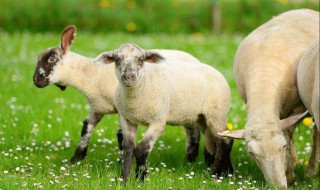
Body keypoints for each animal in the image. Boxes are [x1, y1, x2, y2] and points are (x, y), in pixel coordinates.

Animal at [32, 25, 202, 163]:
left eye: (52, 59)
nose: (36, 81)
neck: (92, 75)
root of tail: (197, 60)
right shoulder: (98, 107)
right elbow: (86, 127)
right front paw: (76, 159)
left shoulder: (122, 109)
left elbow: (120, 135)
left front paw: (121, 161)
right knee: (191, 128)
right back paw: (190, 158)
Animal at [94, 42, 234, 181]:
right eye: (117, 59)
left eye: (141, 59)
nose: (128, 77)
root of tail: (216, 71)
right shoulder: (127, 119)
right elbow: (128, 149)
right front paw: (123, 179)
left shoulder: (157, 121)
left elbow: (141, 149)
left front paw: (141, 176)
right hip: (202, 117)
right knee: (216, 141)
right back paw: (227, 172)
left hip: (217, 113)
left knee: (225, 141)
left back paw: (215, 173)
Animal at [218, 8, 320, 189]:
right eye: (252, 153)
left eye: (282, 146)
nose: (278, 187)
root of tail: (305, 9)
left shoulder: (297, 108)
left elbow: (289, 134)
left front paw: (290, 172)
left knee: (316, 134)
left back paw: (310, 170)